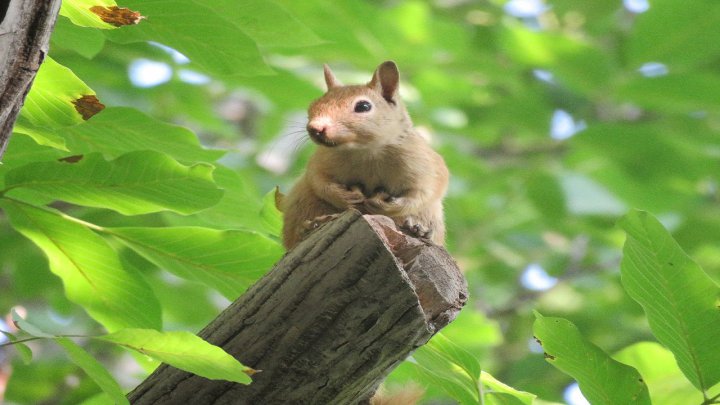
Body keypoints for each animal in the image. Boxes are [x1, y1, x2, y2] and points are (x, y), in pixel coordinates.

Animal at [282, 60, 448, 249]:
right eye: (313, 105)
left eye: (363, 106)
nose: (315, 128)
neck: (366, 151)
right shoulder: (320, 161)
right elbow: (319, 181)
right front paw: (344, 197)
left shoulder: (426, 165)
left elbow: (425, 193)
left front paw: (389, 206)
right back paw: (309, 226)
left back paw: (420, 230)